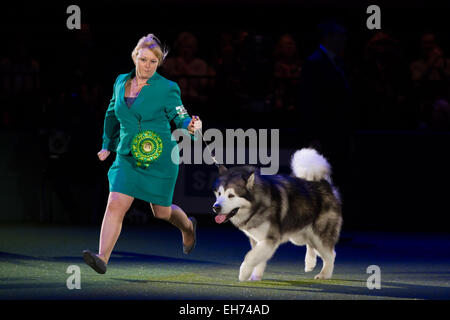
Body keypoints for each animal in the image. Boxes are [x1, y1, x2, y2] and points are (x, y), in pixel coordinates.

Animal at [213, 148, 342, 280]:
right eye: (219, 193)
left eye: (231, 195)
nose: (216, 207)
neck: (257, 206)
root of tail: (325, 185)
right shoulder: (257, 239)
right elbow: (258, 259)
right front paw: (255, 276)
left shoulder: (271, 238)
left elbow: (251, 256)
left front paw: (244, 273)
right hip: (299, 235)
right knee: (310, 244)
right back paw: (310, 263)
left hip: (319, 235)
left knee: (331, 254)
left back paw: (324, 274)